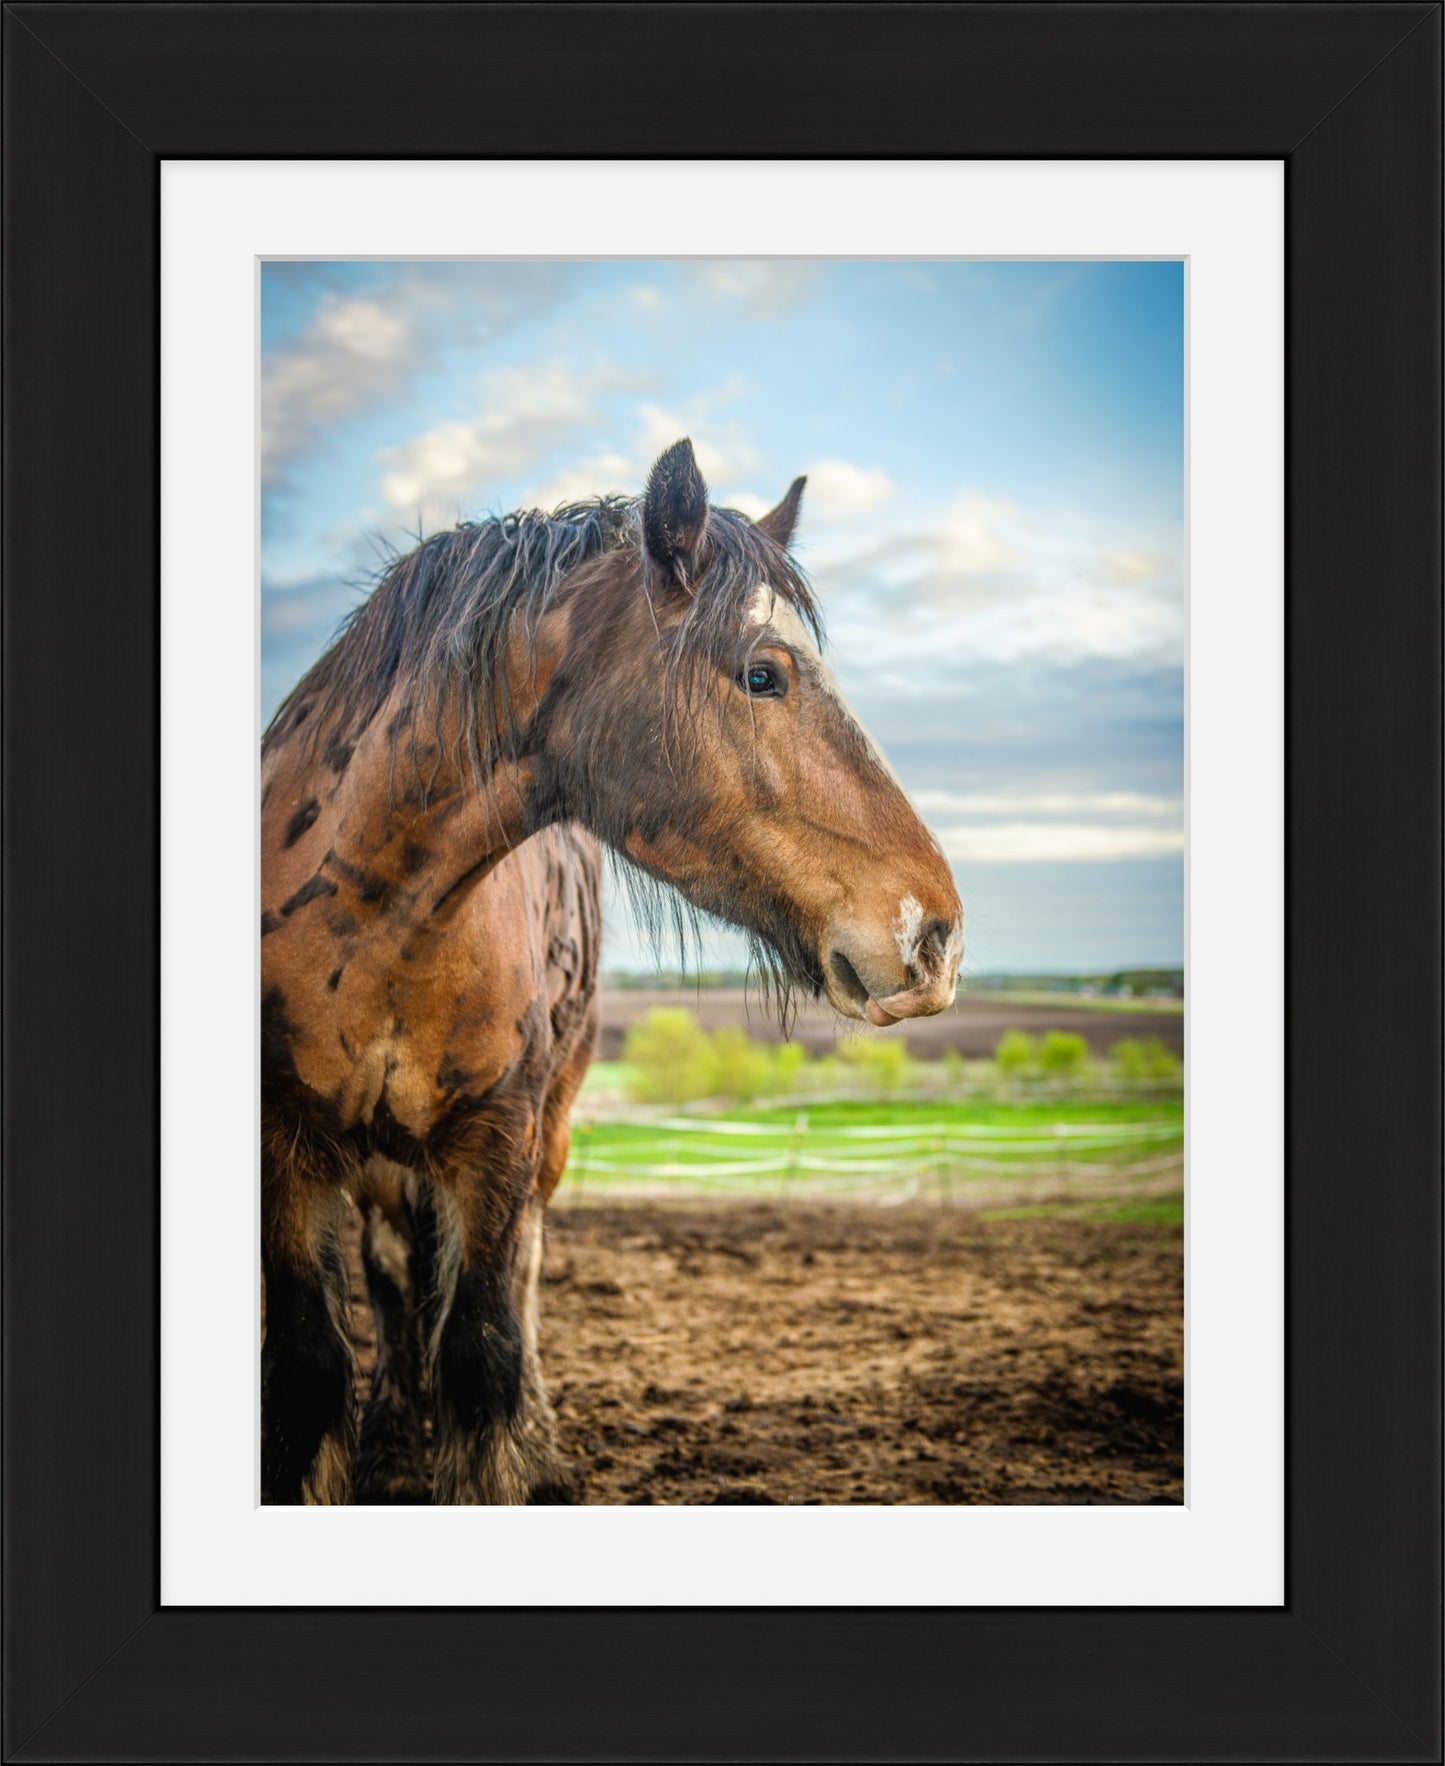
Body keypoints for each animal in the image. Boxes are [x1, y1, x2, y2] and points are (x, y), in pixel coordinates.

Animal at [261, 434, 953, 1497]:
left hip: (540, 1136)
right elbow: (311, 1372)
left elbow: (485, 1354)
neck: (372, 918)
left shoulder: (496, 1141)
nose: (935, 933)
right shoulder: (287, 1154)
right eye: (763, 674)